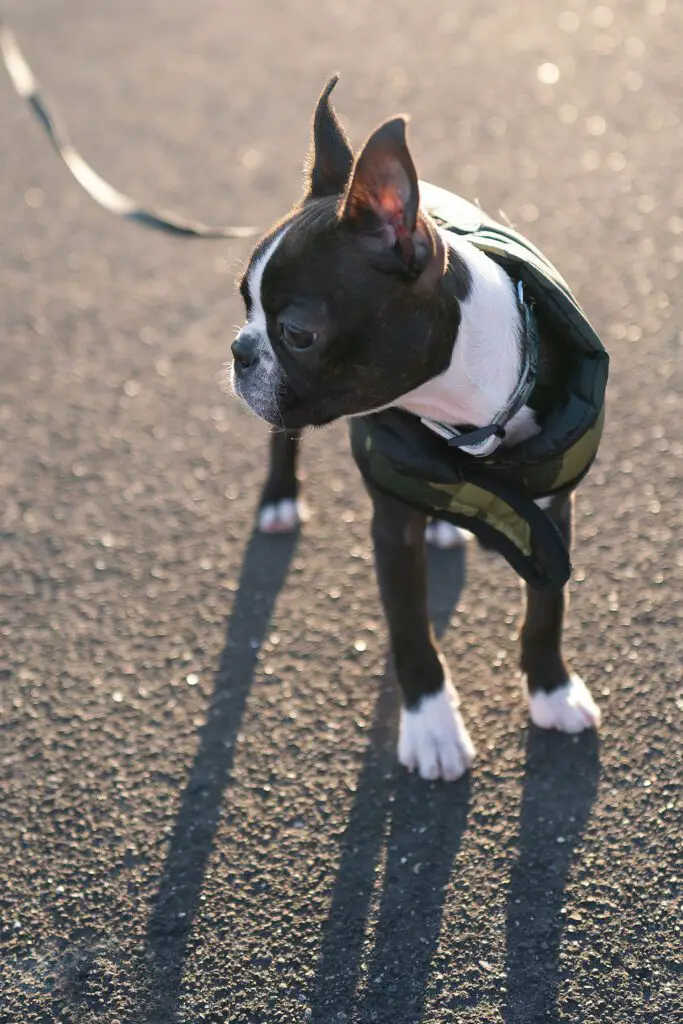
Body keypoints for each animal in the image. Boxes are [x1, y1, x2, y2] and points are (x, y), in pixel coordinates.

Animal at [229, 77, 602, 782]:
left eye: (297, 333)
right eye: (244, 301)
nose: (240, 348)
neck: (467, 411)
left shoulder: (553, 507)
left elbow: (548, 609)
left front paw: (552, 689)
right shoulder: (391, 527)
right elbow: (411, 632)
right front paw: (432, 728)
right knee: (279, 440)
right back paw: (279, 500)